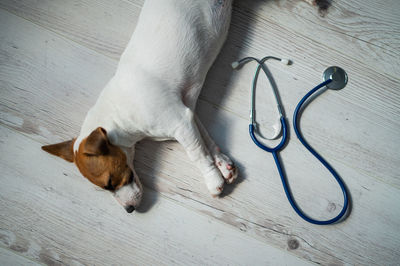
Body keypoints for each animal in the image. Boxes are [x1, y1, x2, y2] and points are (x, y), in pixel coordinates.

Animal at [41, 0, 238, 213]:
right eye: (106, 188)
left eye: (109, 183)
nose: (129, 210)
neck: (118, 114)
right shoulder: (187, 113)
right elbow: (206, 141)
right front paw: (222, 164)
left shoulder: (180, 123)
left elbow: (197, 154)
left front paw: (213, 180)